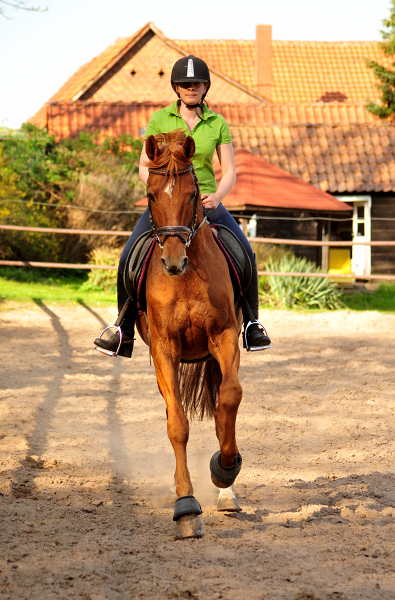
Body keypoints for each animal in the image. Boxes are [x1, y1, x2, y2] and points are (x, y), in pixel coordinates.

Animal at [135, 127, 243, 540]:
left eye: (193, 195)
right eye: (151, 195)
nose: (172, 262)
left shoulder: (225, 336)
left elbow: (229, 398)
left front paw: (225, 469)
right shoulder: (165, 350)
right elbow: (177, 425)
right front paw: (185, 506)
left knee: (221, 406)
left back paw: (227, 492)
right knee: (172, 410)